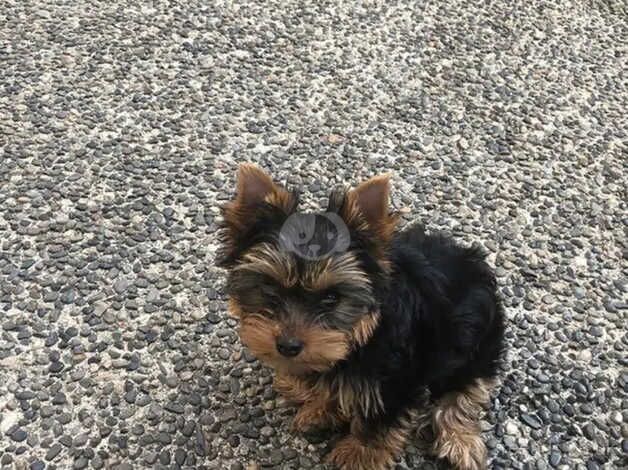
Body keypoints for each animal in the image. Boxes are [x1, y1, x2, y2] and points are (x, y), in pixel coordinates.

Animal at [216, 164, 506, 470]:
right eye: (270, 288)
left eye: (332, 298)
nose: (288, 346)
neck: (364, 331)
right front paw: (321, 408)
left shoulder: (393, 381)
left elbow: (377, 422)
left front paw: (359, 455)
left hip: (473, 341)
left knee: (464, 387)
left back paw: (460, 439)